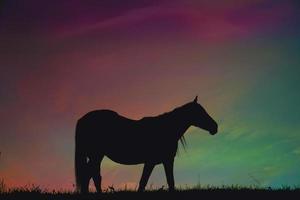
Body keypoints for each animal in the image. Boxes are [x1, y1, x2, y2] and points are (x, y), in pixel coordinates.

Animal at [74, 96, 217, 193]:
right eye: (200, 112)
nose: (215, 127)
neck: (166, 129)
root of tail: (83, 119)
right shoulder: (155, 161)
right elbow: (145, 182)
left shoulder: (165, 161)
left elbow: (169, 181)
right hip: (96, 155)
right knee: (93, 175)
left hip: (96, 156)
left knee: (90, 175)